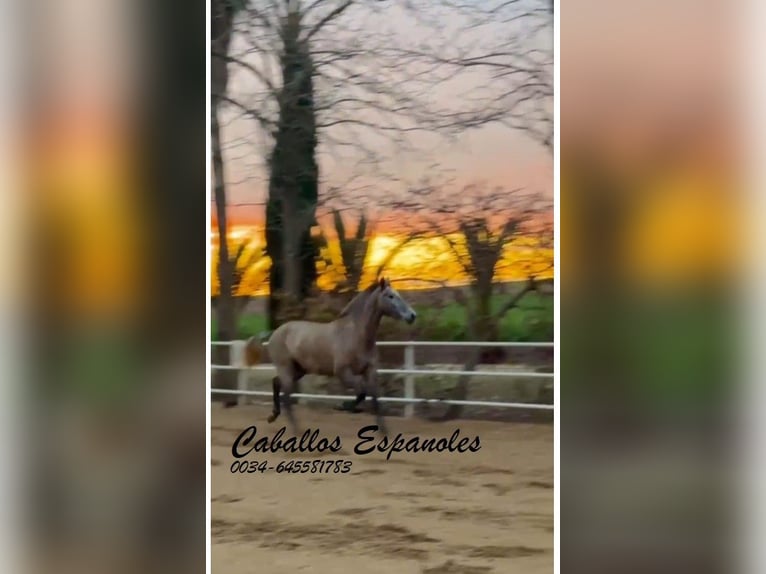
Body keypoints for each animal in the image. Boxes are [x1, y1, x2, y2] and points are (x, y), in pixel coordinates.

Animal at [243, 277, 417, 435]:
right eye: (390, 296)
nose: (412, 315)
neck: (356, 334)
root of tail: (275, 332)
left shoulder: (370, 371)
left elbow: (374, 399)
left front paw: (384, 432)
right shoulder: (343, 372)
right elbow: (362, 392)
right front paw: (343, 407)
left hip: (298, 370)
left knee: (276, 383)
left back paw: (273, 415)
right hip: (286, 368)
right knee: (286, 397)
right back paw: (296, 430)